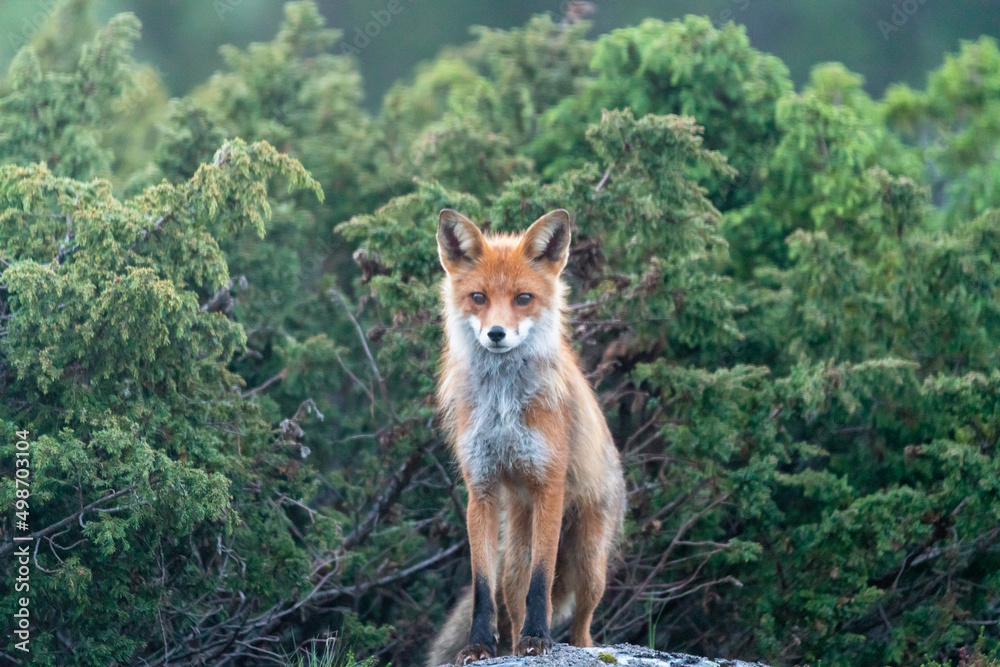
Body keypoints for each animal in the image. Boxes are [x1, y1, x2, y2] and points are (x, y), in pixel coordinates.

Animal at [428, 209, 627, 666]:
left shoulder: (548, 485)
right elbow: (483, 588)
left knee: (583, 623)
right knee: (512, 599)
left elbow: (542, 581)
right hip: (514, 556)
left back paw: (573, 644)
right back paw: (515, 642)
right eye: (478, 297)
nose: (497, 333)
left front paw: (539, 639)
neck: (503, 405)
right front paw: (479, 645)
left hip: (590, 564)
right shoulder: (480, 488)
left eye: (523, 299)